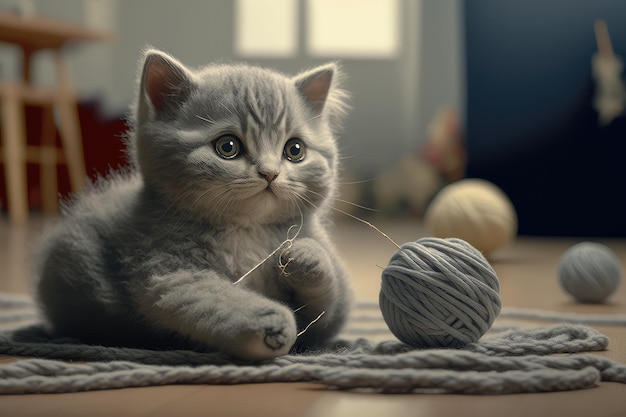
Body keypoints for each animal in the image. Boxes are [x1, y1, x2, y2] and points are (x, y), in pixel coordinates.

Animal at [34, 48, 352, 360]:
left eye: (295, 150)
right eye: (227, 147)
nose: (270, 172)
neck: (247, 231)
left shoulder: (328, 319)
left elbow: (328, 307)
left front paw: (306, 255)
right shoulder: (164, 266)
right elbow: (213, 298)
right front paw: (269, 321)